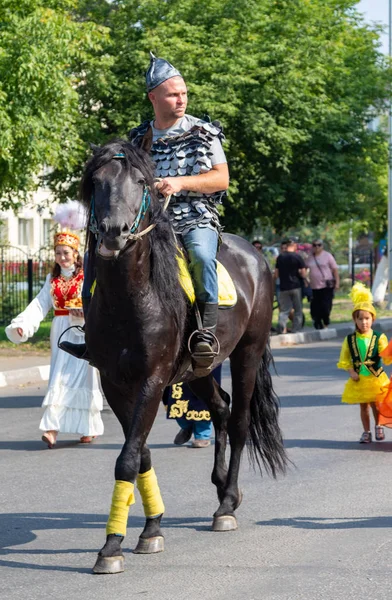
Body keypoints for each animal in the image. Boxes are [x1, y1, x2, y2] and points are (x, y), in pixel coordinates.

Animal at [80, 138, 288, 576]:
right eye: (97, 181)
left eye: (142, 182)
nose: (113, 234)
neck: (131, 298)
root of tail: (256, 255)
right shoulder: (114, 382)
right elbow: (140, 452)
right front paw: (152, 527)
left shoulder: (153, 378)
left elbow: (127, 458)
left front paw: (112, 546)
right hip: (199, 369)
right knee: (221, 408)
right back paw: (223, 487)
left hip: (247, 353)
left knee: (239, 420)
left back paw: (227, 505)